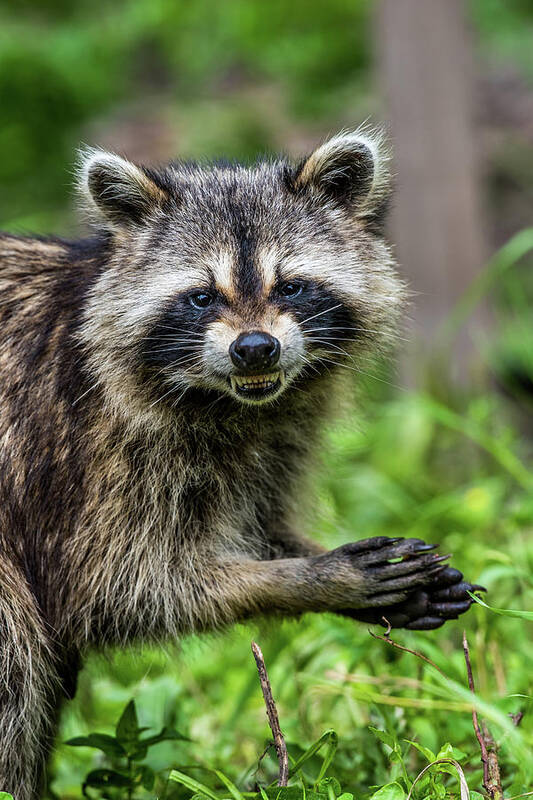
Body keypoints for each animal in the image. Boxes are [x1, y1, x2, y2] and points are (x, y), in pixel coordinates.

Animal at [0, 133, 482, 800]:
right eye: (201, 296)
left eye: (292, 287)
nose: (255, 348)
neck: (228, 402)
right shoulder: (86, 448)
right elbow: (114, 589)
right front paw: (311, 577)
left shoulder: (275, 437)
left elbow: (258, 523)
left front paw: (307, 558)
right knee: (17, 652)